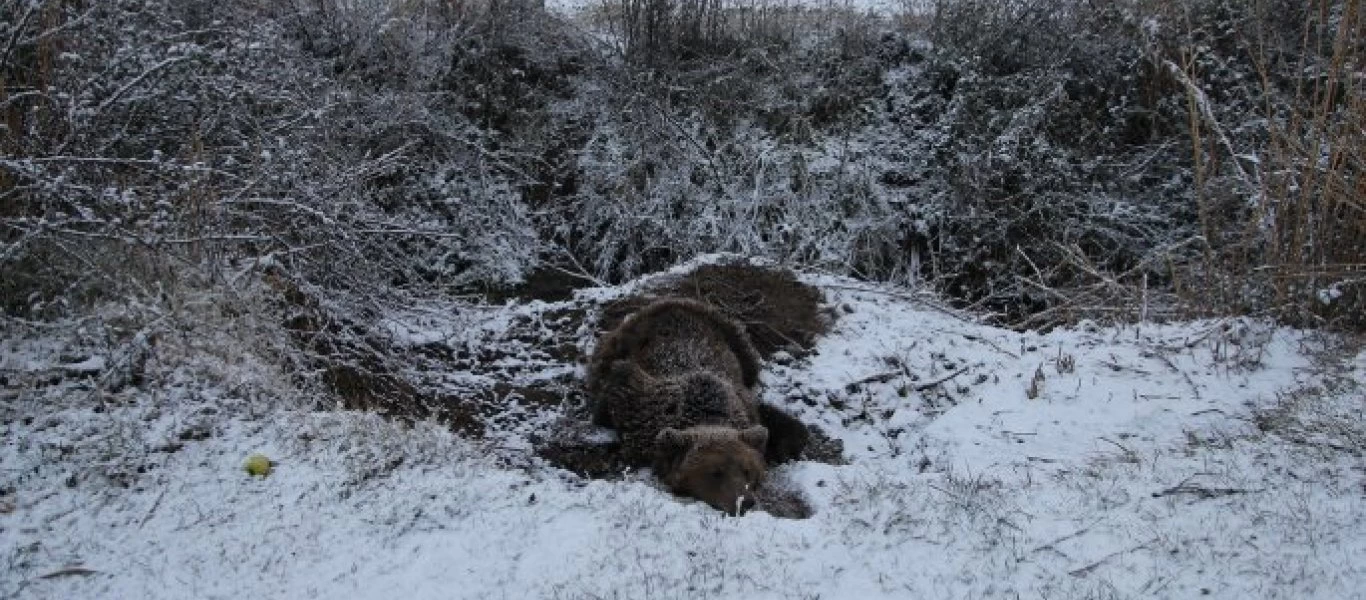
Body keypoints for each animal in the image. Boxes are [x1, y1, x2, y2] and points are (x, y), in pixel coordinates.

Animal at [590, 297, 803, 513]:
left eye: (747, 470)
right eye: (715, 472)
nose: (744, 502)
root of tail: (672, 301)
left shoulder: (745, 404)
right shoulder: (641, 408)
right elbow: (618, 389)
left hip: (737, 342)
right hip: (621, 341)